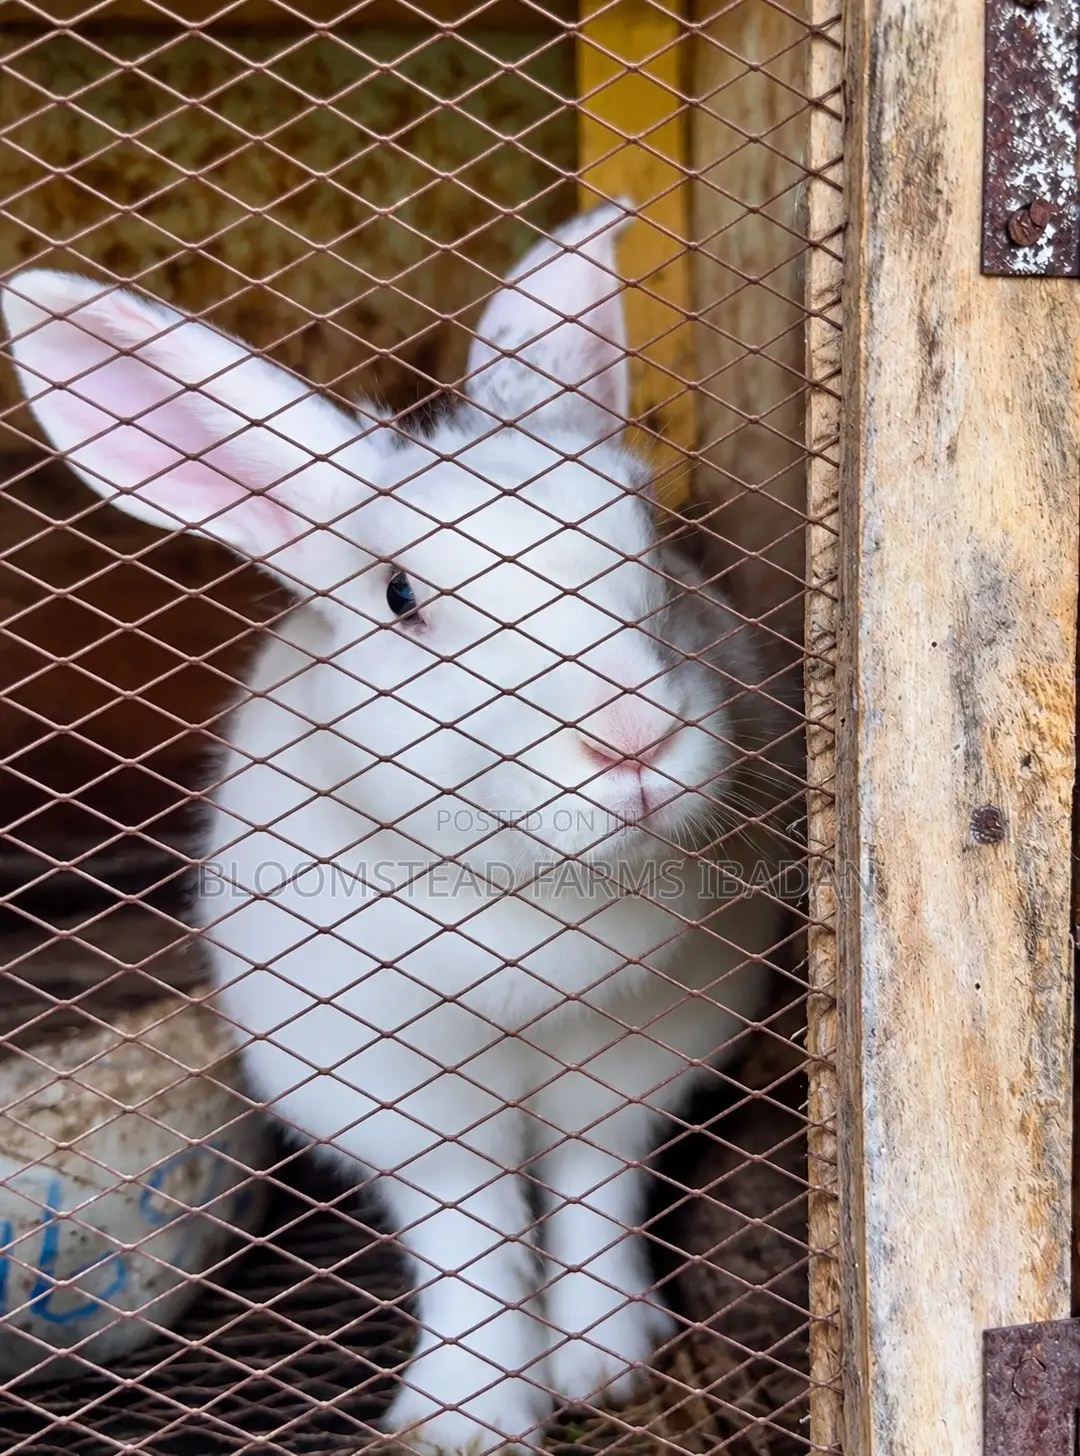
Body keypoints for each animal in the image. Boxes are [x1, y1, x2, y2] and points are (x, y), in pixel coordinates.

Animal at [2, 203, 790, 1455]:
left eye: (652, 545)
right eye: (401, 596)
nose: (631, 739)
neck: (531, 900)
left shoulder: (638, 1057)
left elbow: (593, 1197)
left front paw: (603, 1367)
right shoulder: (395, 1096)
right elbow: (470, 1238)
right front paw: (471, 1415)